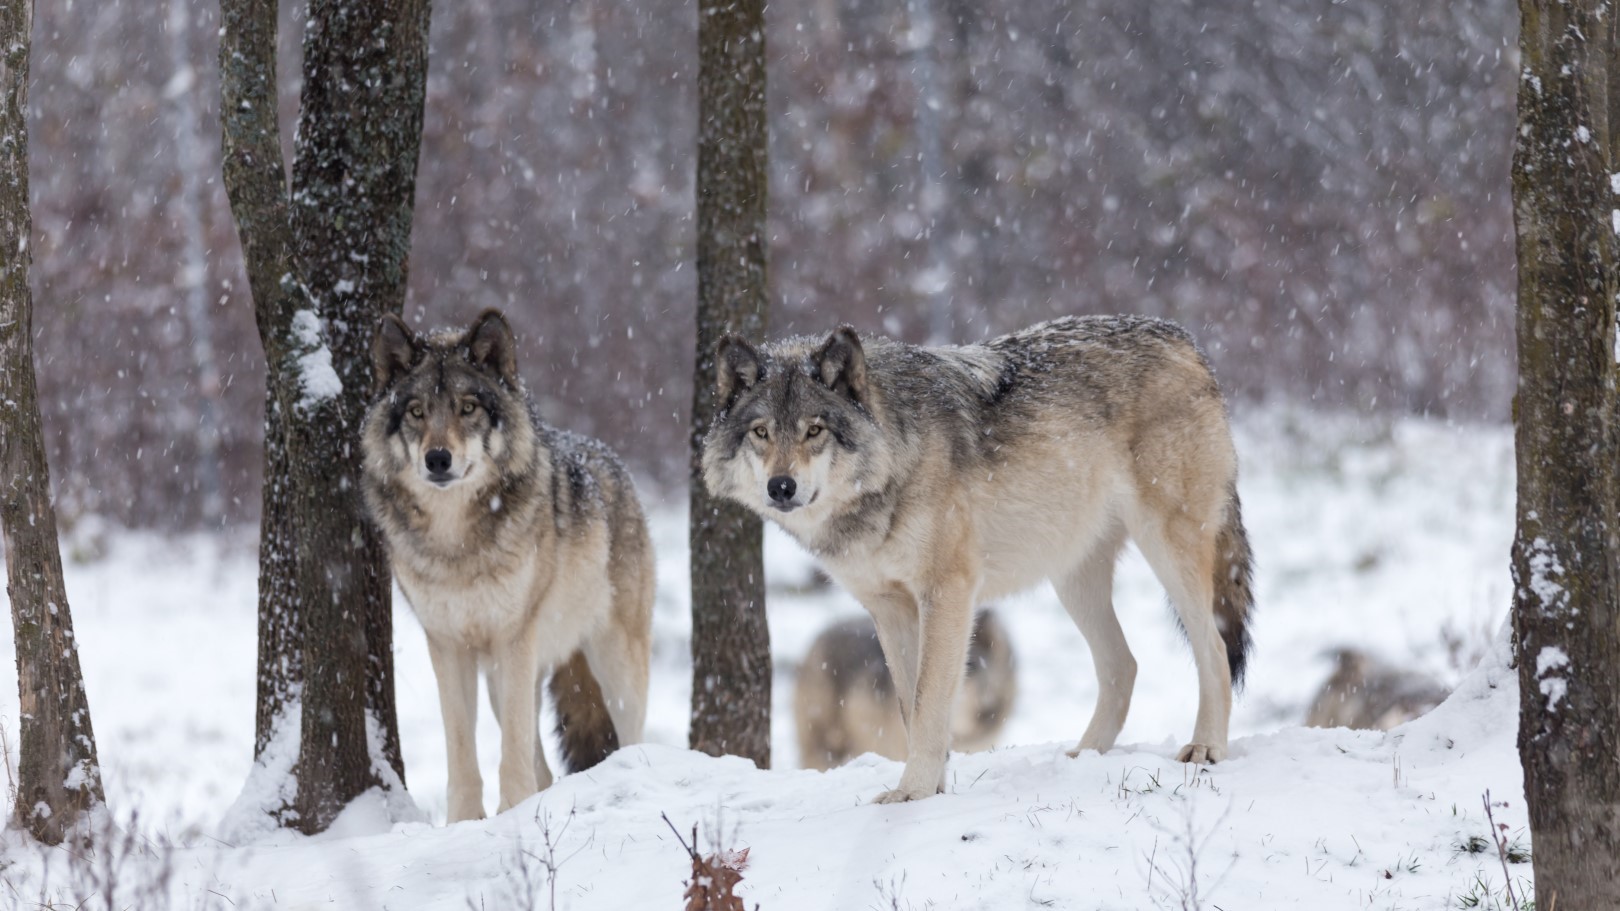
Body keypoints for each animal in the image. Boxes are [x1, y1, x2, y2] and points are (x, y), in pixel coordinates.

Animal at [359, 307, 651, 820]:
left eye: (467, 408)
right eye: (416, 412)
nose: (438, 459)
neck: (455, 542)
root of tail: (613, 460)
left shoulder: (514, 639)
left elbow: (511, 752)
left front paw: (511, 813)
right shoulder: (447, 647)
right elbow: (462, 749)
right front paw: (466, 822)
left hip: (613, 665)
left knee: (631, 740)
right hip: (504, 676)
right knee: (545, 768)